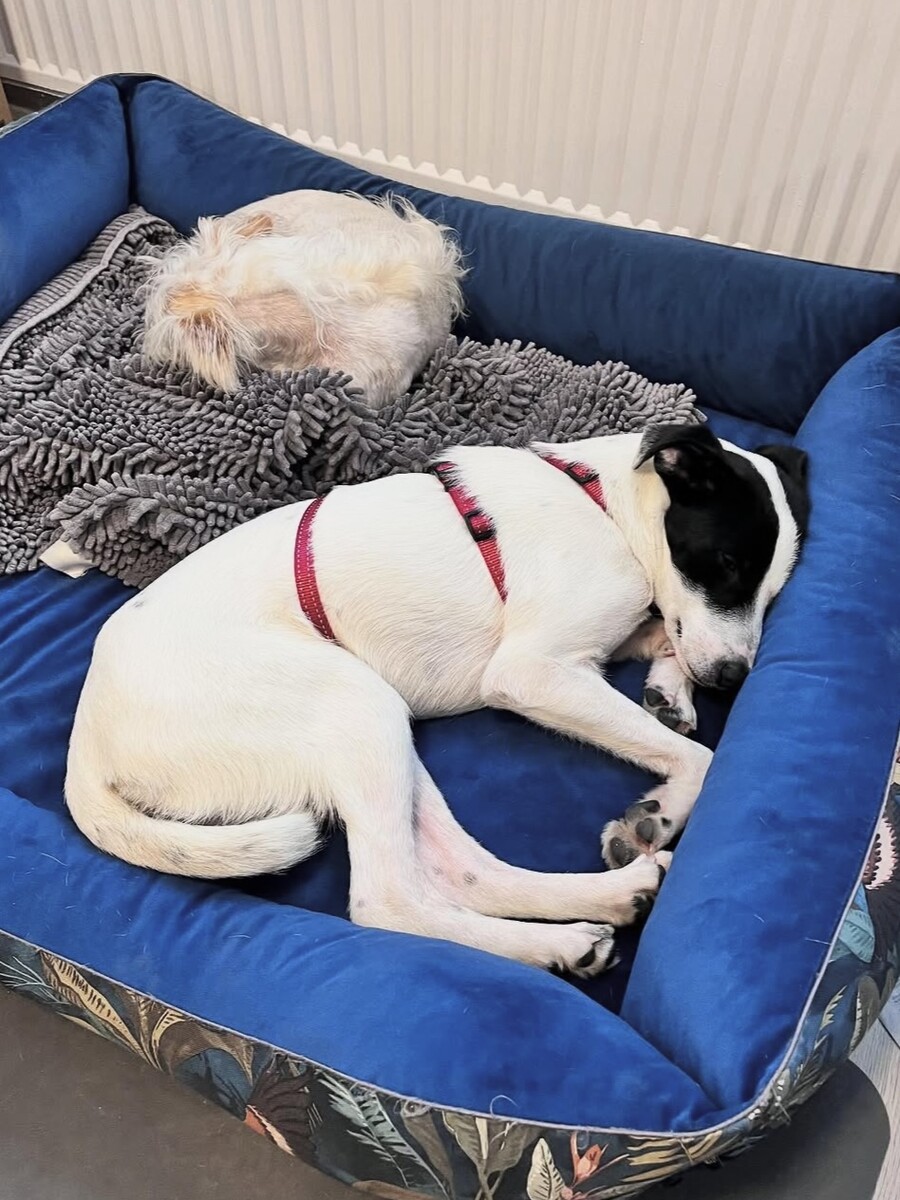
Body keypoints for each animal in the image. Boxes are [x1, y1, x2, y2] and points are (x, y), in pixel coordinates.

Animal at [65, 424, 809, 978]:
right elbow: (698, 756)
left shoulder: (609, 642)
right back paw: (559, 942)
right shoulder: (534, 672)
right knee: (388, 902)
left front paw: (670, 692)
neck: (605, 505)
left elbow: (667, 641)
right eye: (727, 564)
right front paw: (664, 808)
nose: (734, 678)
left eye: (774, 591)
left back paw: (609, 902)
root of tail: (86, 748)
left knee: (464, 874)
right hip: (356, 704)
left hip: (383, 732)